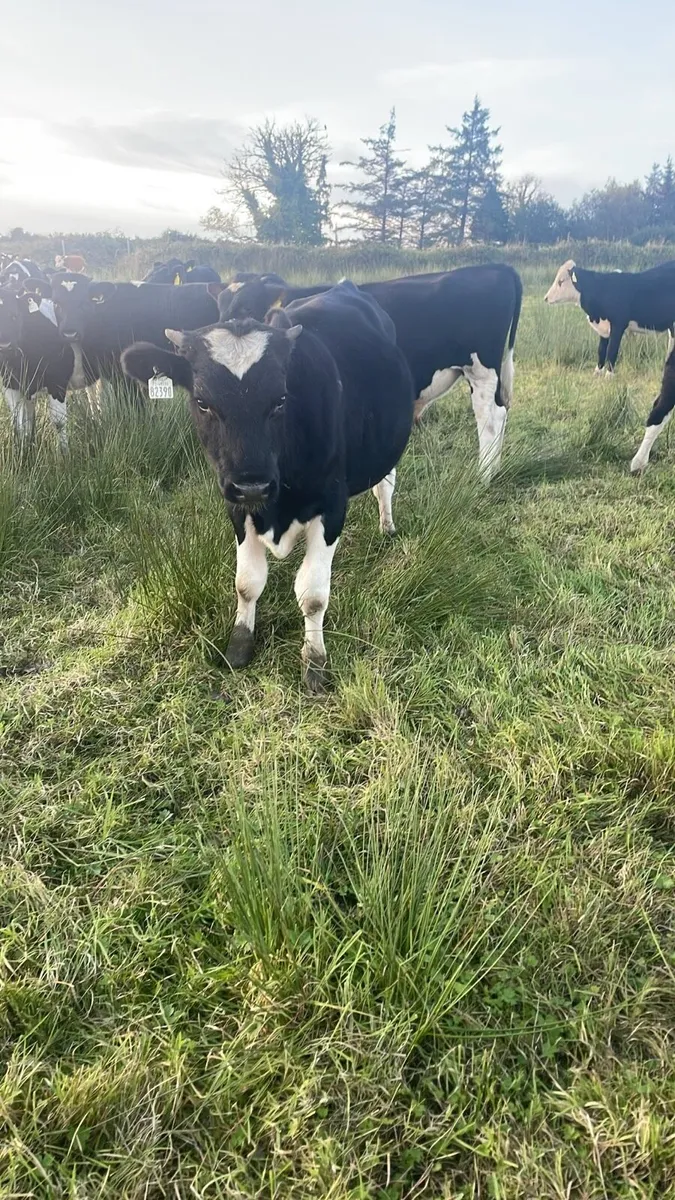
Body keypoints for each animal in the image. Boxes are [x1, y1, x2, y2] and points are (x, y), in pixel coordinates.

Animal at [0, 283, 73, 446]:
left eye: (14, 316)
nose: (5, 346)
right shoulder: (11, 386)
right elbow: (21, 425)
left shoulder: (58, 383)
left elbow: (59, 424)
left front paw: (64, 453)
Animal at [121, 281, 415, 691]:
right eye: (202, 401)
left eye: (281, 399)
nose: (253, 485)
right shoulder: (236, 507)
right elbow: (246, 582)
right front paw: (240, 643)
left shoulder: (331, 506)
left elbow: (313, 594)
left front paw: (315, 660)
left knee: (385, 483)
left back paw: (387, 525)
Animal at [220, 265, 522, 482]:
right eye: (222, 307)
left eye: (247, 307)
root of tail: (495, 267)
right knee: (501, 412)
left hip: (482, 369)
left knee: (491, 418)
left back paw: (483, 476)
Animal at [544, 259, 675, 372]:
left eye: (561, 281)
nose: (546, 298)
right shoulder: (604, 329)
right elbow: (601, 350)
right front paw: (597, 373)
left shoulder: (618, 325)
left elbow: (612, 350)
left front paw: (609, 376)